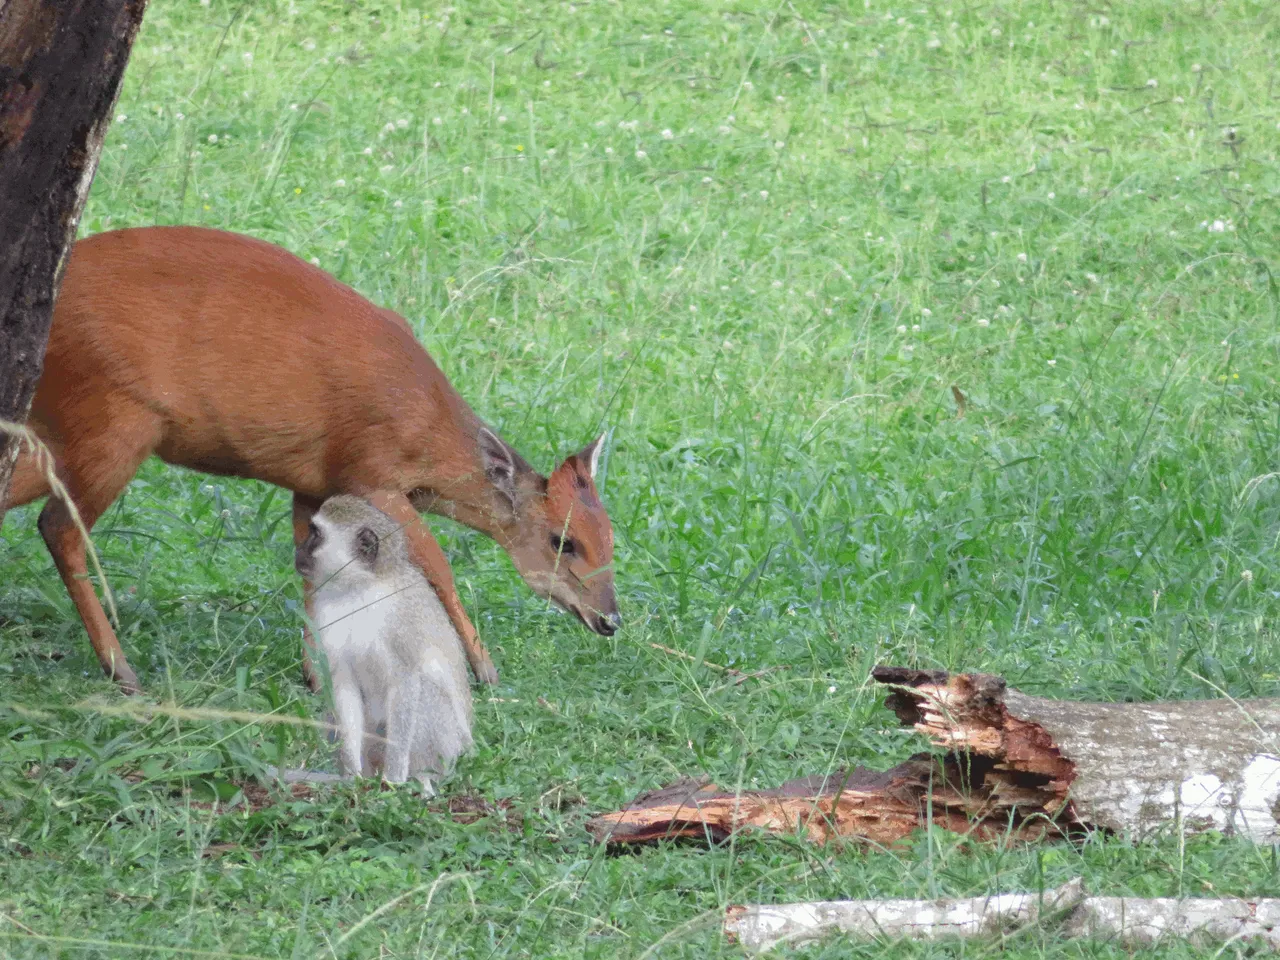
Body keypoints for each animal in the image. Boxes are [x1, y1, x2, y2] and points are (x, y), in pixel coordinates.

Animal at [294, 499, 476, 783]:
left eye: (315, 534)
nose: (299, 550)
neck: (360, 589)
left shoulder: (403, 616)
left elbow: (407, 681)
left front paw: (395, 777)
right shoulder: (324, 611)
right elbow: (343, 682)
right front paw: (353, 774)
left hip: (448, 747)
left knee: (427, 686)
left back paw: (421, 778)